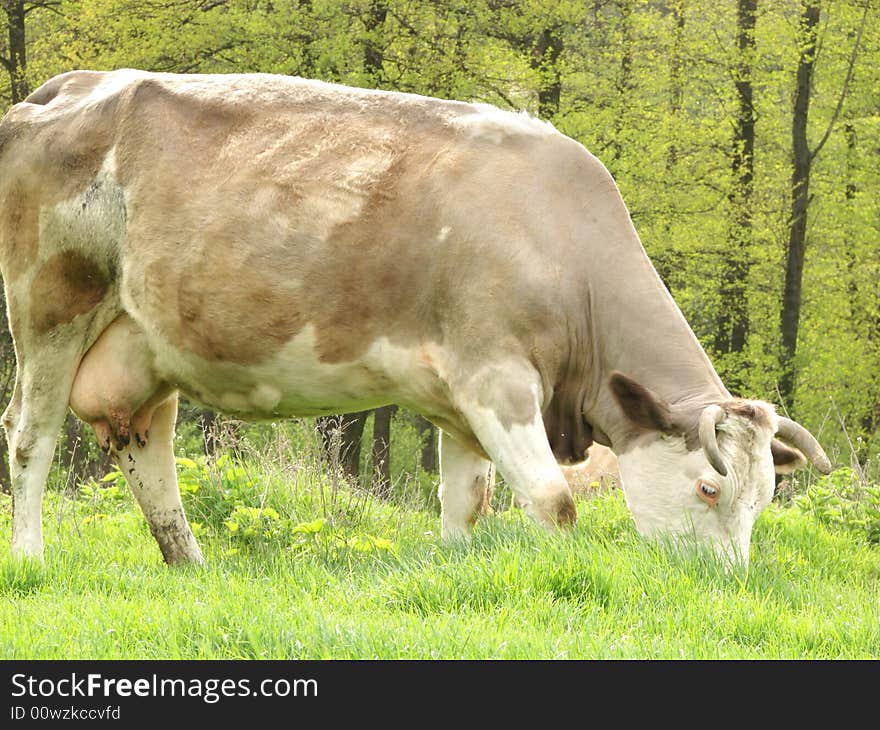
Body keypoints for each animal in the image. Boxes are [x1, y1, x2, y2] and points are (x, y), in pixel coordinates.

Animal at [0, 68, 828, 564]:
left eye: (764, 498)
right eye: (710, 489)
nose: (724, 581)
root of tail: (64, 87)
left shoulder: (458, 404)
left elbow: (466, 506)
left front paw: (462, 578)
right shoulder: (497, 378)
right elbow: (554, 502)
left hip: (145, 346)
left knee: (148, 452)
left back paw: (191, 565)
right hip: (50, 310)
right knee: (30, 438)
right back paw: (32, 555)